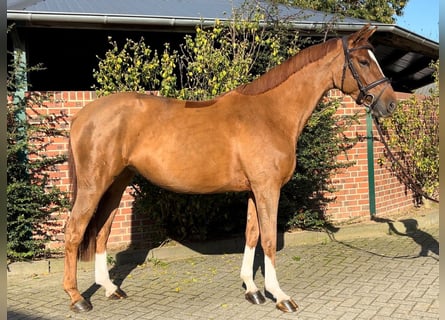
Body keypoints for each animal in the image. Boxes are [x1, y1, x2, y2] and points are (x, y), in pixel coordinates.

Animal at [62, 25, 396, 312]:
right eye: (363, 61)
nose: (390, 104)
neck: (271, 113)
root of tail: (82, 116)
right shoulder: (267, 188)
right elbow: (268, 239)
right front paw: (279, 296)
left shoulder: (253, 190)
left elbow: (251, 234)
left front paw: (253, 289)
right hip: (94, 185)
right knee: (75, 230)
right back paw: (77, 298)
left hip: (117, 183)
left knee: (102, 229)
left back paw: (109, 288)